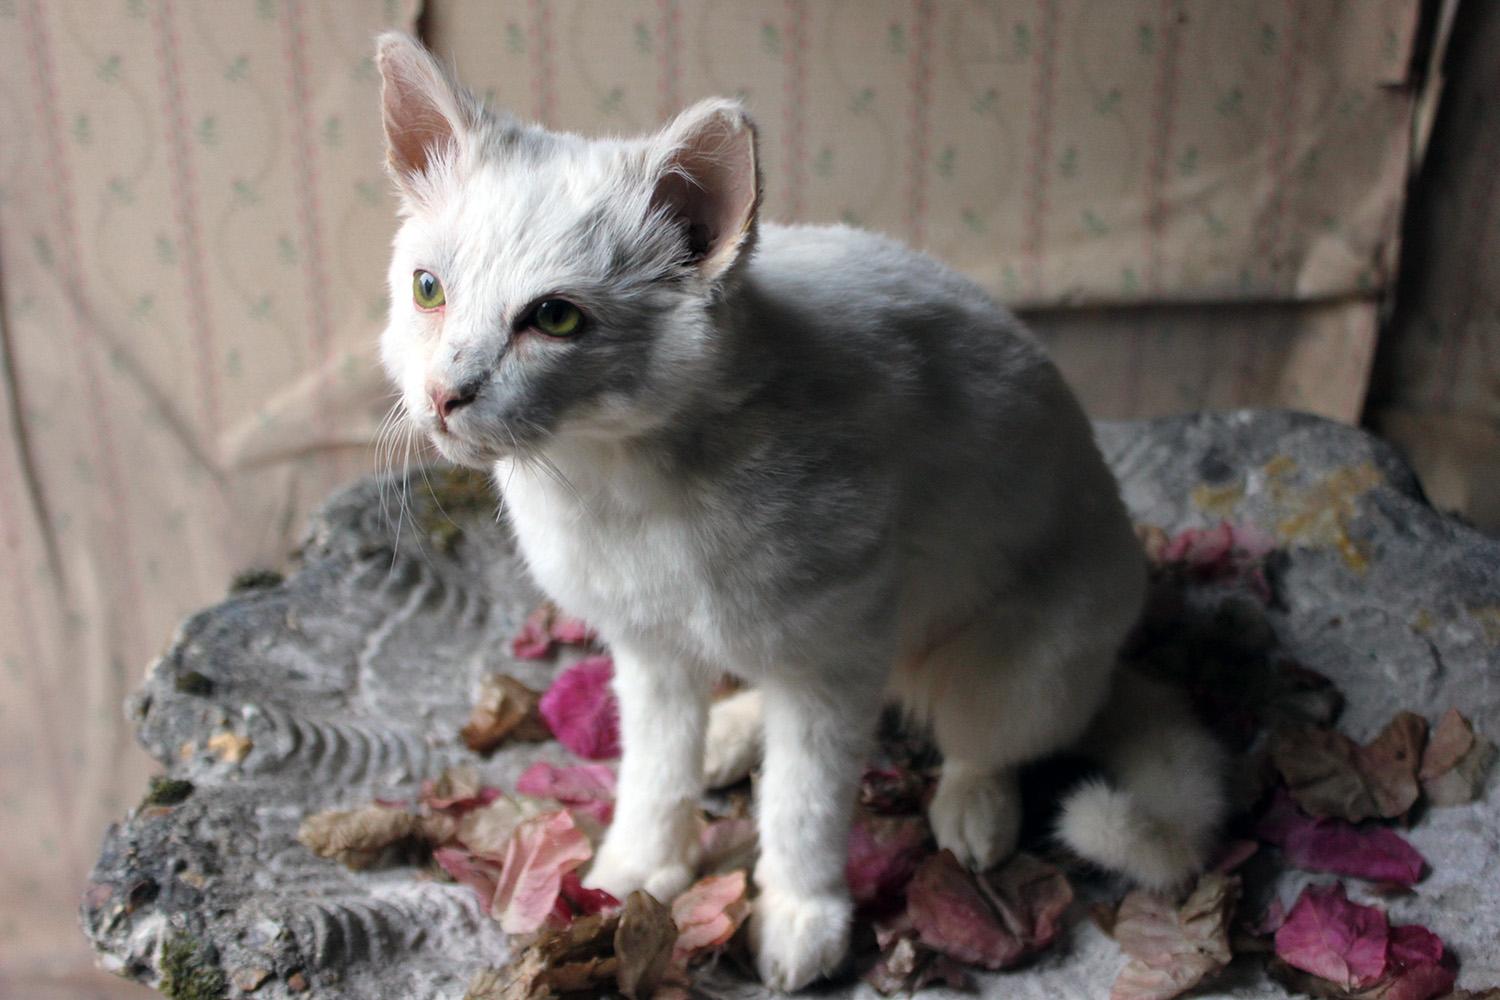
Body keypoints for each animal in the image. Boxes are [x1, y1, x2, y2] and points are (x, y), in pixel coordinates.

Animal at [378, 31, 1230, 995]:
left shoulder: (833, 666)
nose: (444, 397)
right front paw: (637, 874)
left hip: (1016, 668)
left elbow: (803, 808)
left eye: (554, 319)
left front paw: (798, 917)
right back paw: (732, 734)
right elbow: (654, 778)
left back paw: (973, 817)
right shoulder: (654, 656)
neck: (620, 486)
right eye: (430, 290)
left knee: (983, 745)